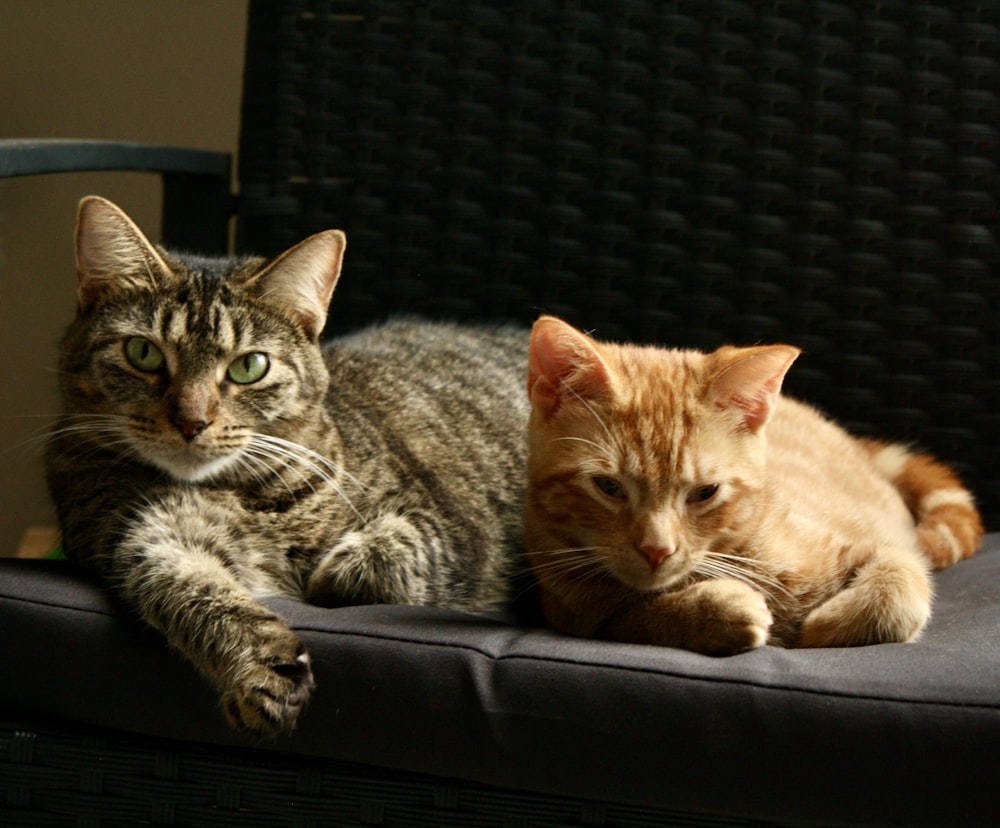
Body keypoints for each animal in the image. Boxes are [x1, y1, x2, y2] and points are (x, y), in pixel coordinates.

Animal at [45, 197, 532, 736]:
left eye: (249, 366)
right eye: (143, 352)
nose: (192, 421)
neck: (234, 491)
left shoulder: (450, 527)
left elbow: (379, 562)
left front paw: (325, 578)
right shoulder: (141, 534)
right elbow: (196, 590)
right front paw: (261, 667)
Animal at [528, 316, 980, 652]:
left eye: (704, 492)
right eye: (608, 487)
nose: (657, 550)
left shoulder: (877, 547)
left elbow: (898, 586)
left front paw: (819, 629)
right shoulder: (572, 611)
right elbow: (635, 616)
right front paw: (718, 608)